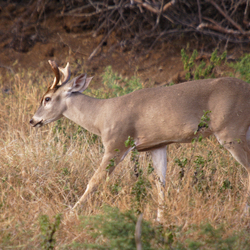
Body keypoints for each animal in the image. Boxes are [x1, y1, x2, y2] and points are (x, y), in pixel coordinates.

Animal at [29, 60, 250, 221]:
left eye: (47, 98)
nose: (32, 120)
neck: (101, 117)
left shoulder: (116, 143)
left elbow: (94, 181)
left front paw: (70, 214)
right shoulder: (157, 145)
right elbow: (161, 183)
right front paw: (160, 220)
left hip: (231, 131)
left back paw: (243, 213)